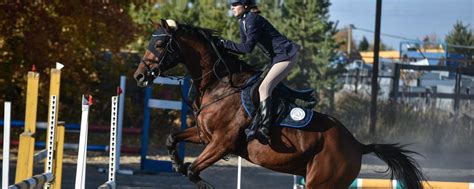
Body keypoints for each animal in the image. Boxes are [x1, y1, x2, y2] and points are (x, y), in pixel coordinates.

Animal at [133, 19, 426, 189]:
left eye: (160, 44)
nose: (139, 76)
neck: (220, 85)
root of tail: (358, 145)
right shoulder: (204, 135)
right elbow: (172, 139)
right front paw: (174, 163)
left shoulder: (222, 143)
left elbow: (193, 171)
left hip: (322, 181)